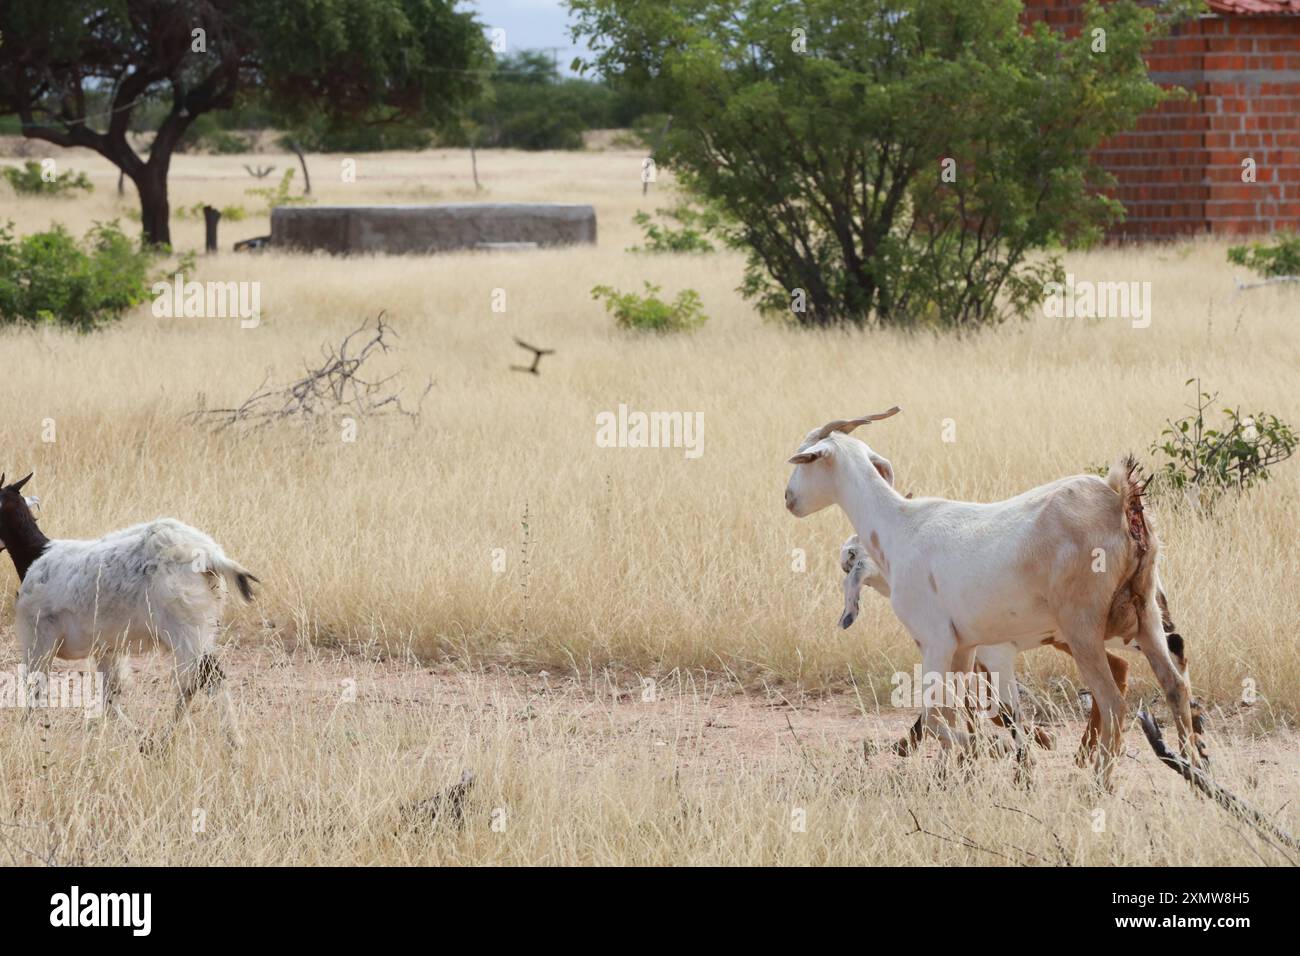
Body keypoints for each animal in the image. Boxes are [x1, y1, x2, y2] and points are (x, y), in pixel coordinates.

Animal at [0, 473, 256, 749]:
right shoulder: (106, 648)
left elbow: (35, 690)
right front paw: (139, 737)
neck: (35, 555)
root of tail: (209, 555)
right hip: (201, 629)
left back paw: (226, 741)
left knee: (205, 678)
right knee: (195, 681)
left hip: (187, 629)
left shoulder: (37, 637)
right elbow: (111, 696)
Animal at [780, 408, 1196, 785]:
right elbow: (954, 710)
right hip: (1145, 616)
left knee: (1113, 701)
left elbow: (937, 714)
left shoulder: (935, 640)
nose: (788, 498)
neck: (901, 525)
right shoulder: (965, 647)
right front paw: (959, 772)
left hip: (1083, 629)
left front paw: (987, 755)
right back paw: (1195, 772)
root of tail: (1120, 501)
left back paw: (1099, 785)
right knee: (1175, 685)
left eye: (804, 458)